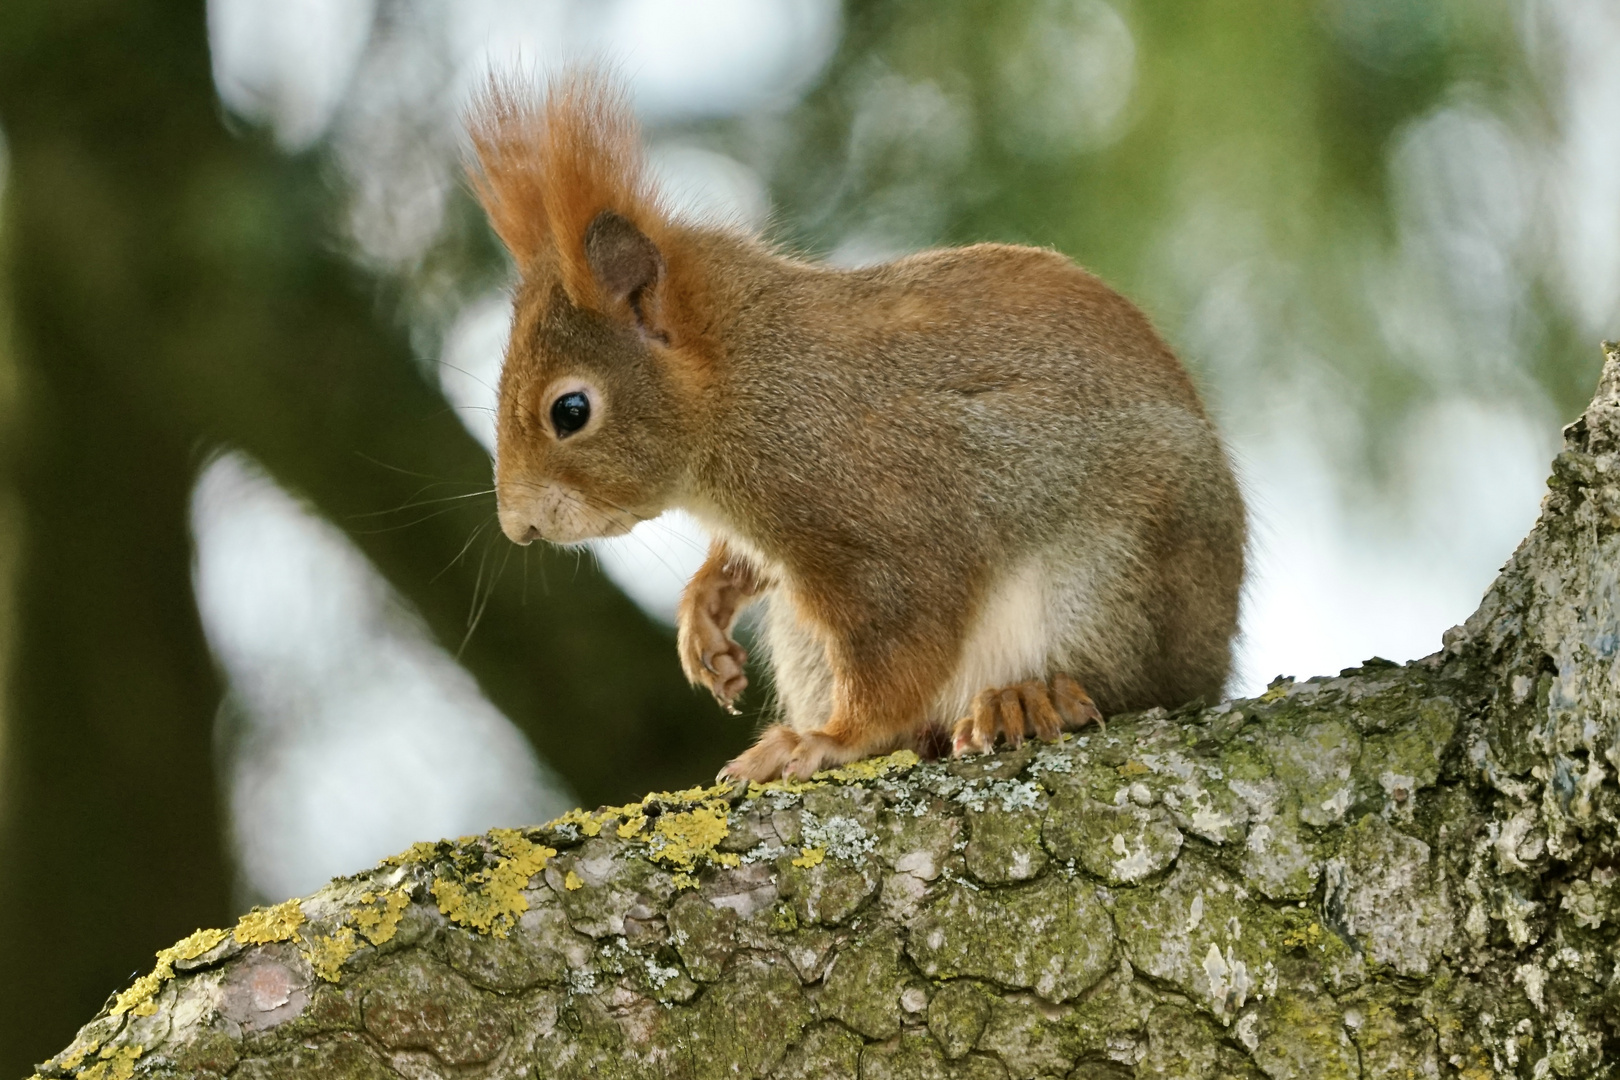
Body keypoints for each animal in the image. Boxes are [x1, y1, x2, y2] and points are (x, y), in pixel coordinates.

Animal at [469, 71, 1250, 780]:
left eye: (570, 411)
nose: (518, 526)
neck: (750, 384)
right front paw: (707, 608)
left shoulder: (887, 520)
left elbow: (902, 650)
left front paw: (829, 740)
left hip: (1117, 579)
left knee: (1124, 683)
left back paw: (1032, 697)